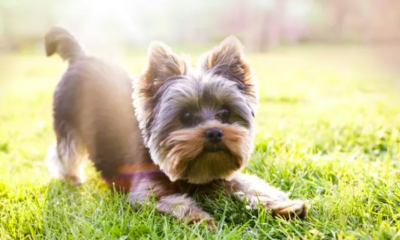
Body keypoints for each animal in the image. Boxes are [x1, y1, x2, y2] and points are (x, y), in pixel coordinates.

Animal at [43, 27, 306, 226]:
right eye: (186, 116)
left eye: (224, 113)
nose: (214, 132)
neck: (192, 174)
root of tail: (80, 57)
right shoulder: (145, 194)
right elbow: (175, 202)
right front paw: (201, 219)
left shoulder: (224, 175)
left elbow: (252, 186)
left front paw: (284, 206)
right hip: (66, 120)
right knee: (64, 152)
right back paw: (70, 177)